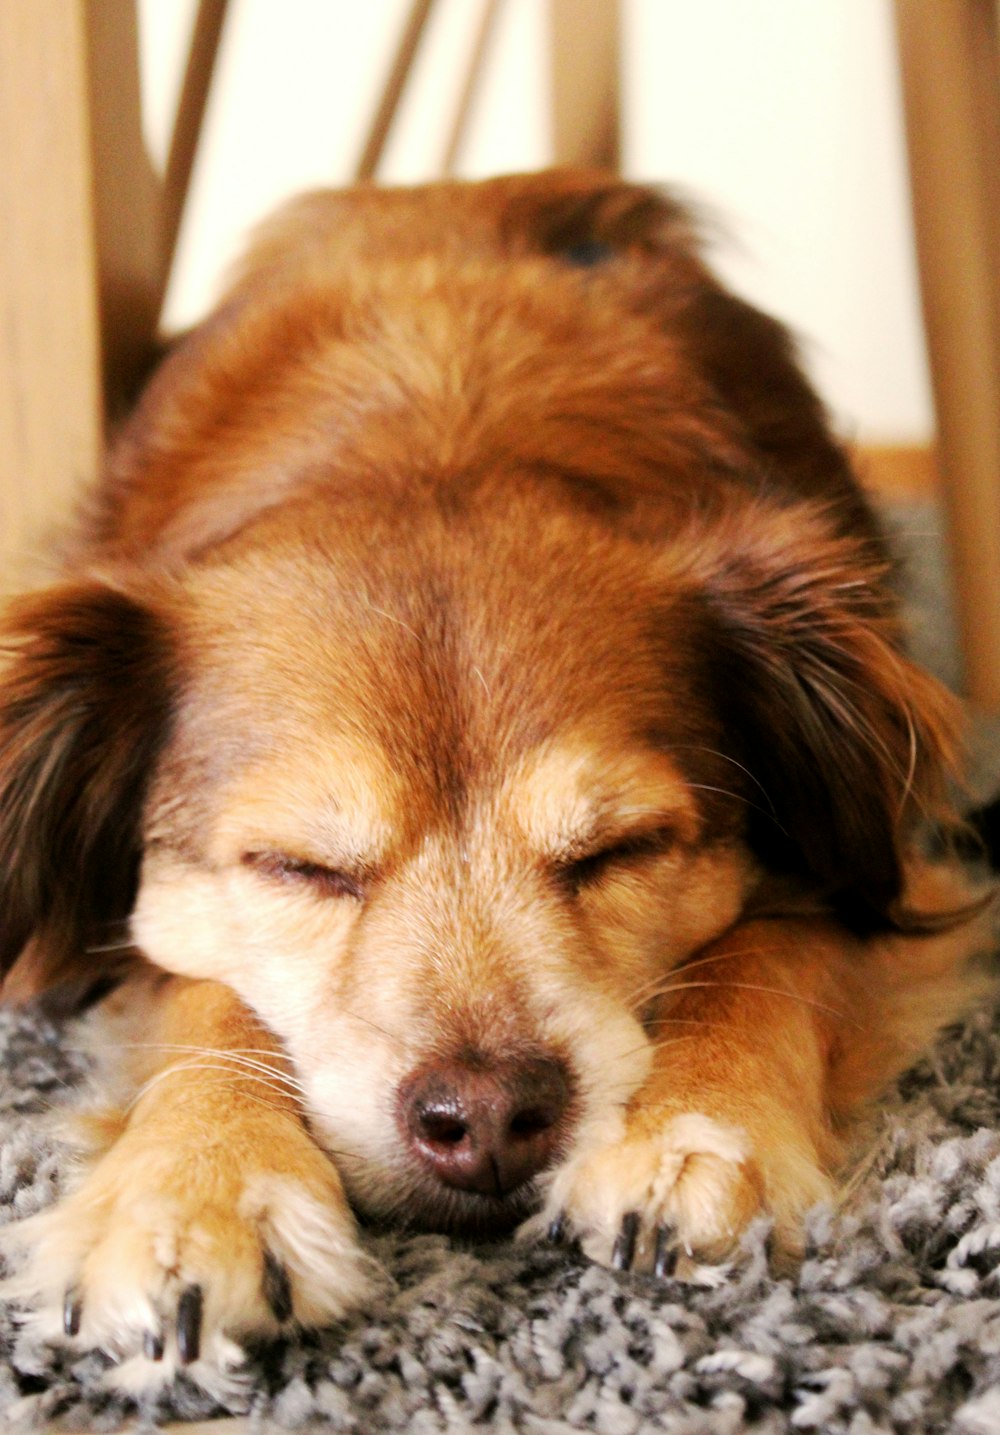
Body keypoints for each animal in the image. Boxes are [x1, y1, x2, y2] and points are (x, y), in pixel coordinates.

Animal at [0, 167, 987, 1389]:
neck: (440, 424)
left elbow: (768, 949)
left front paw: (701, 1130)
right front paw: (195, 1188)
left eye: (620, 849)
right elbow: (209, 996)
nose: (484, 1118)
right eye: (298, 867)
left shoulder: (894, 874)